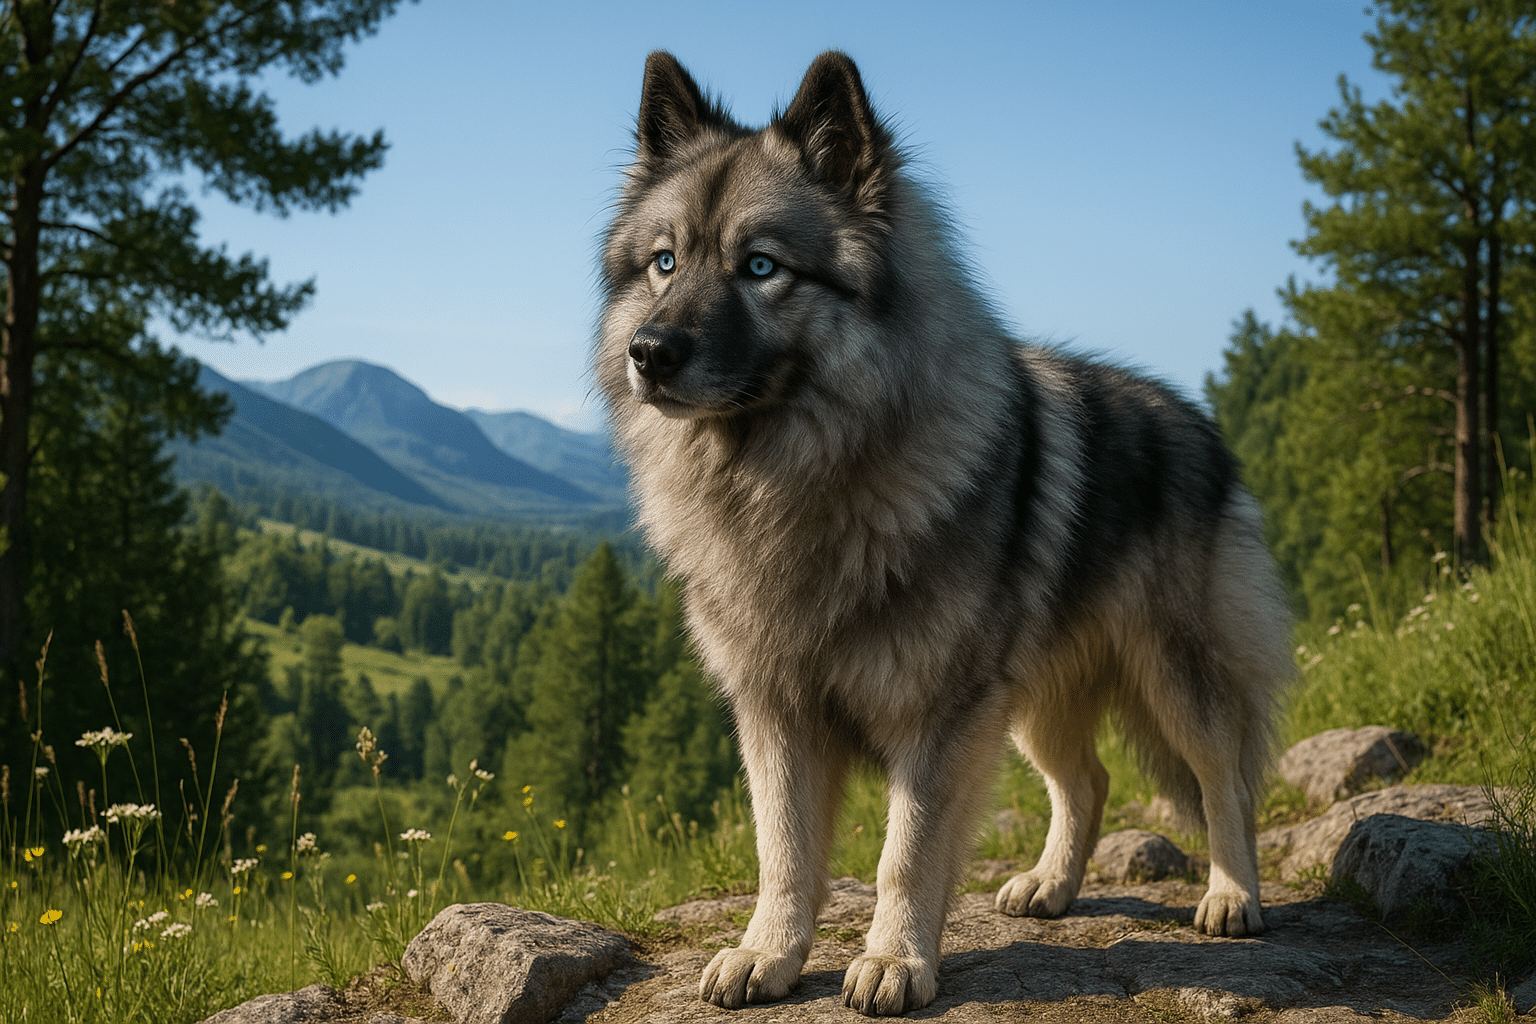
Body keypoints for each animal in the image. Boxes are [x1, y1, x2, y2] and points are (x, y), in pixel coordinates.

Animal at [595, 50, 1294, 1017]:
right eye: (664, 262)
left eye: (761, 266)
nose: (651, 352)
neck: (796, 483)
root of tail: (1196, 420)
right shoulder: (776, 710)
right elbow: (784, 852)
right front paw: (769, 953)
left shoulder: (938, 715)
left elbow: (907, 852)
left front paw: (894, 960)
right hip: (1033, 697)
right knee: (1088, 782)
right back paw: (1051, 885)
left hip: (1171, 672)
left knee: (1224, 775)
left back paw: (1232, 895)